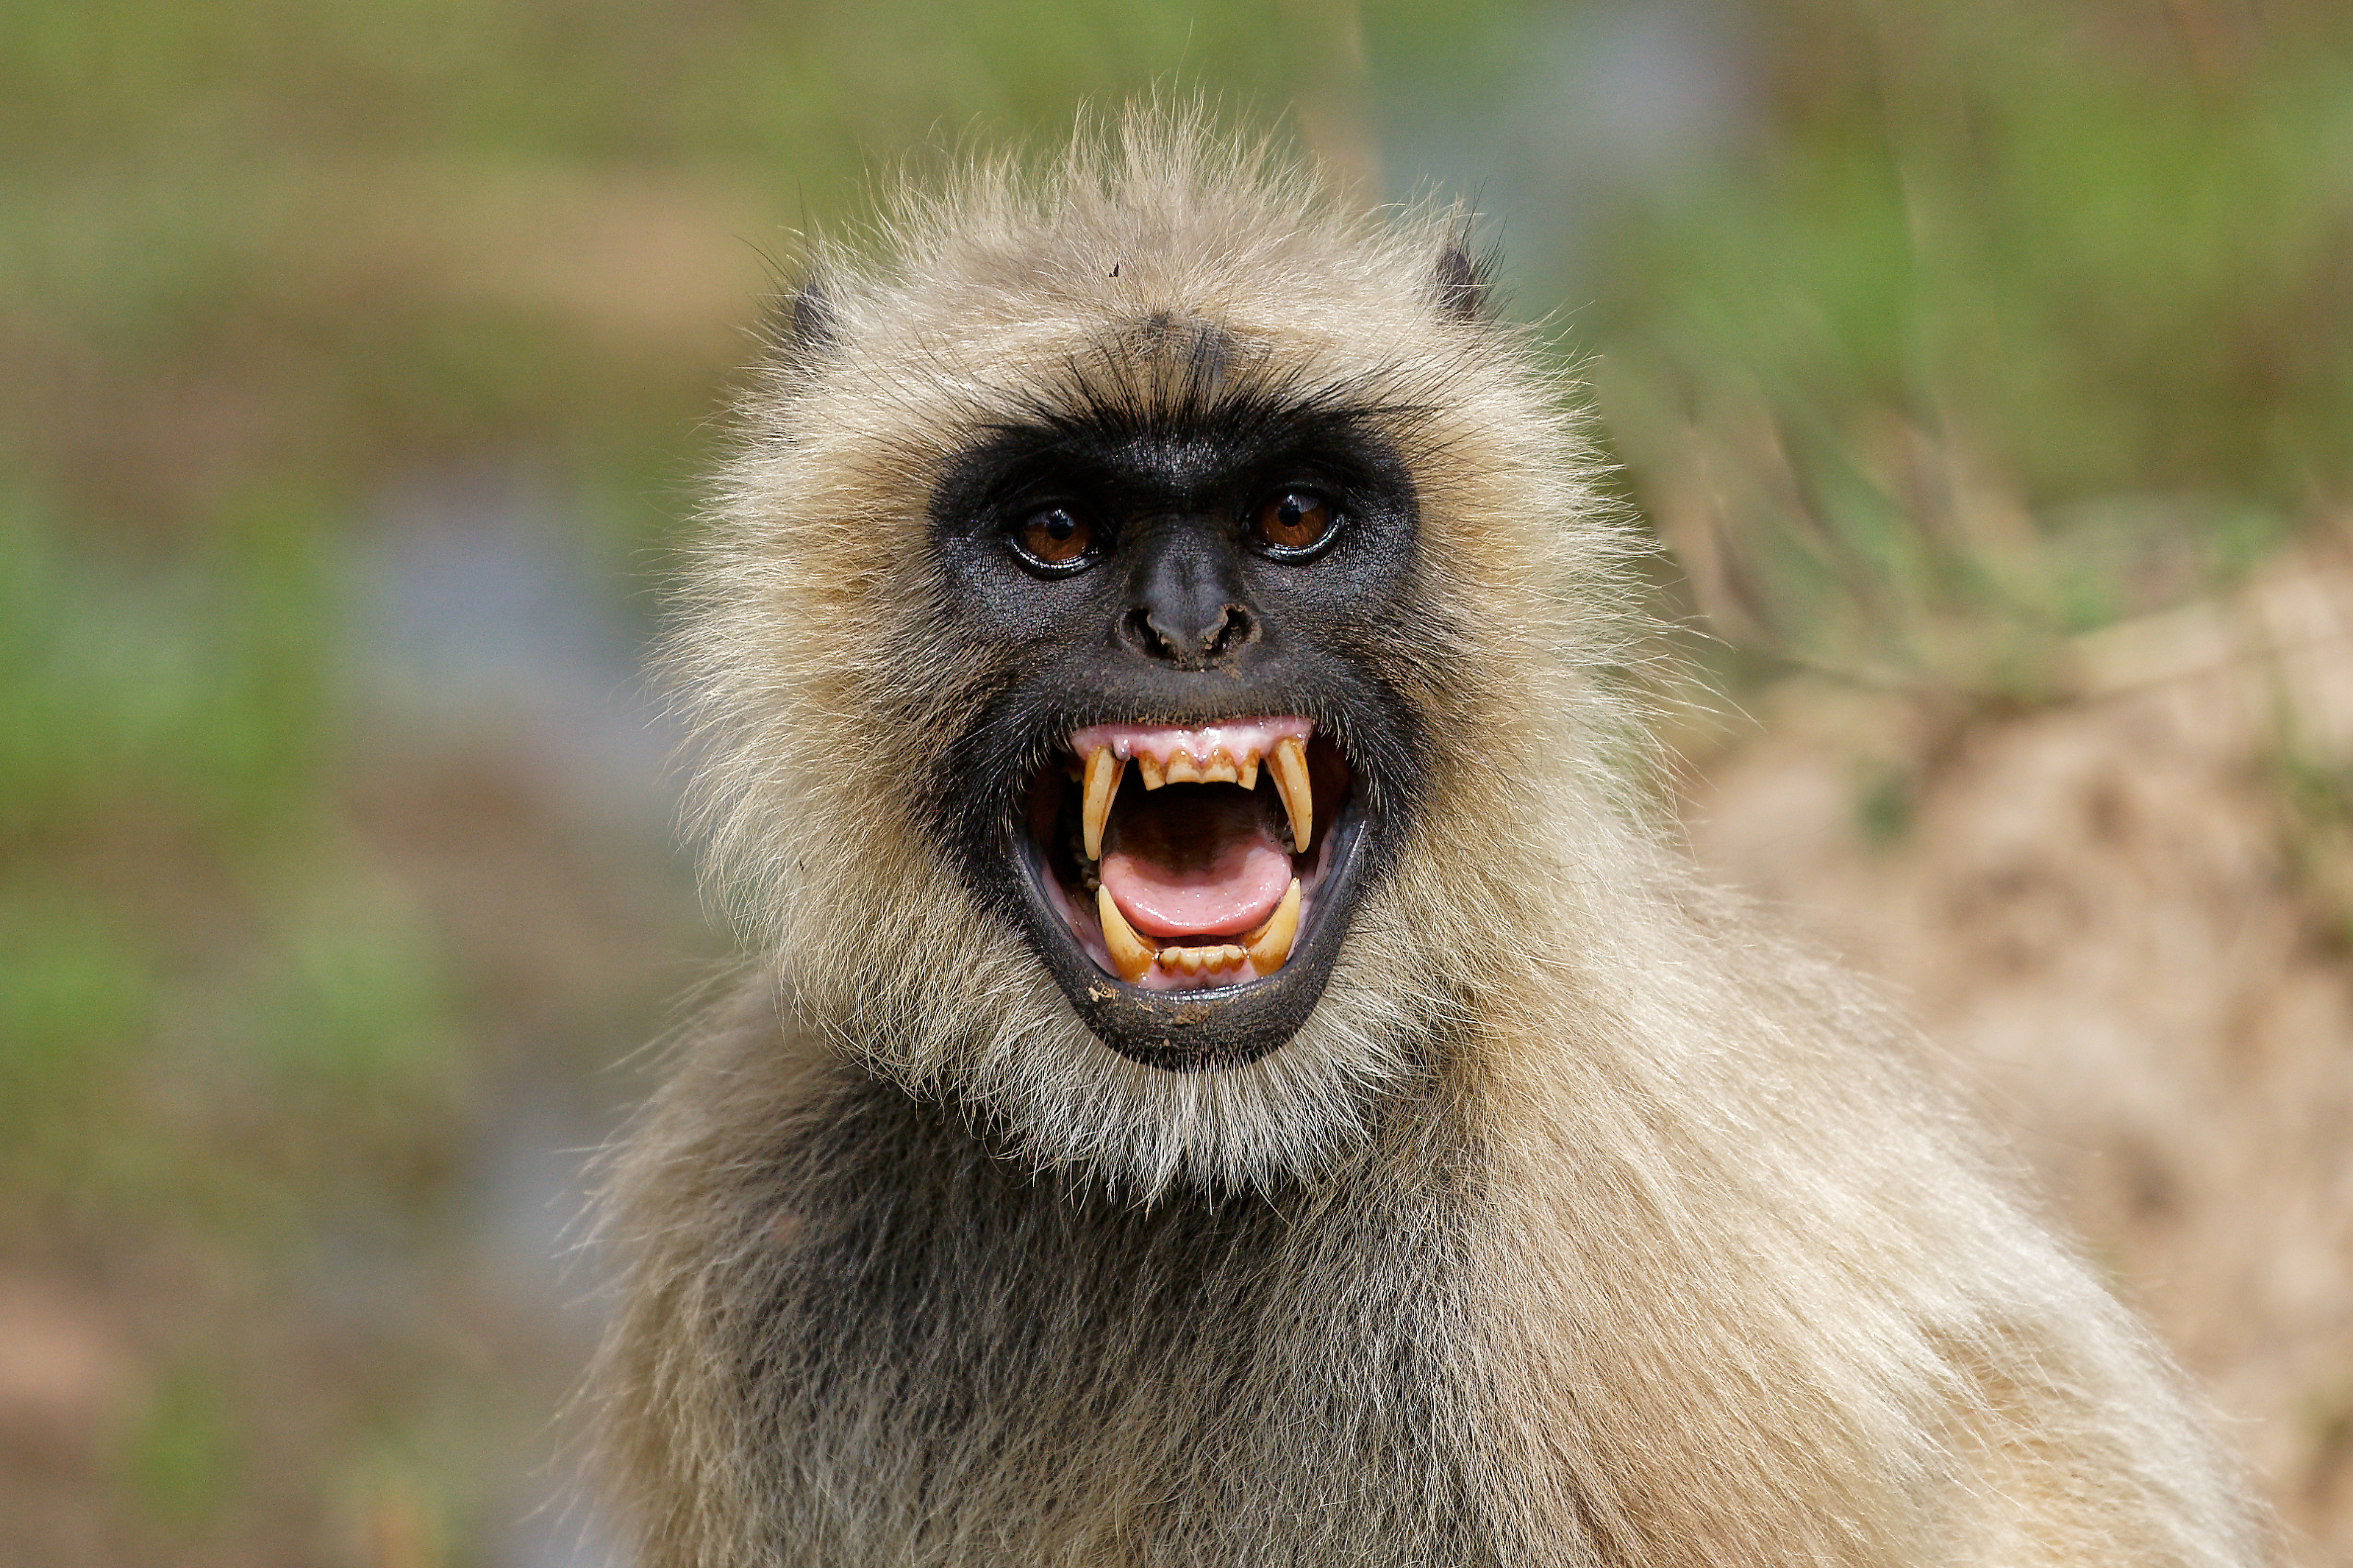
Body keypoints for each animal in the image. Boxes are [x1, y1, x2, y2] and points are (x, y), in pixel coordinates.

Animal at [593, 113, 2277, 1568]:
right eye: (1057, 531)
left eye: (1290, 516)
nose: (1190, 629)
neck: (1190, 1156)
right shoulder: (751, 1202)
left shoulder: (1610, 1292)